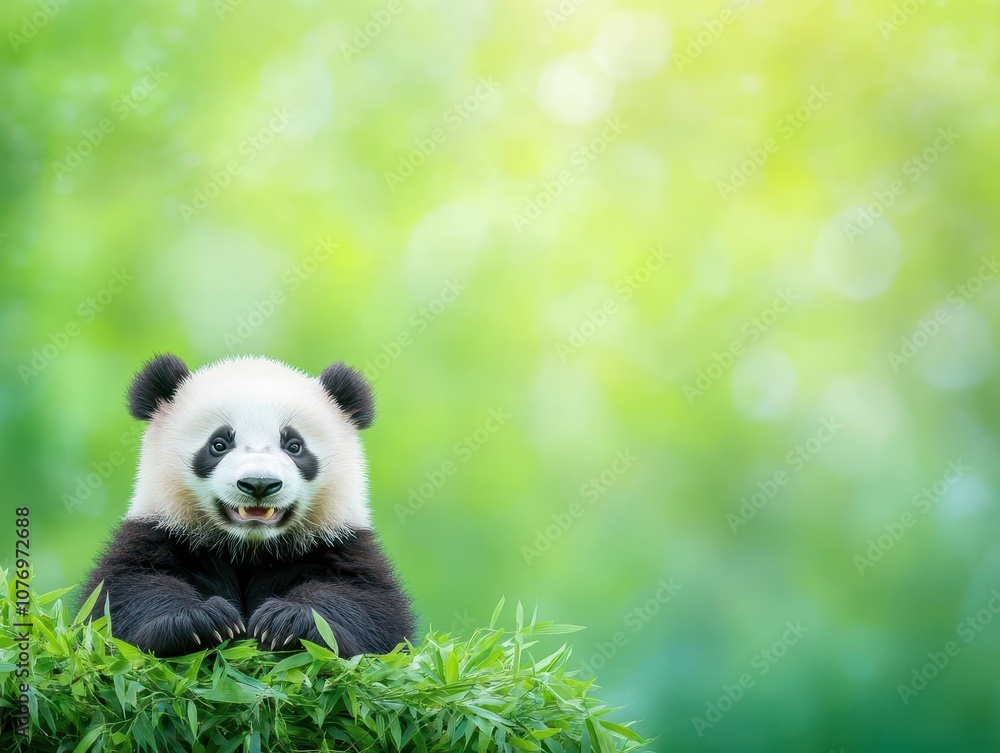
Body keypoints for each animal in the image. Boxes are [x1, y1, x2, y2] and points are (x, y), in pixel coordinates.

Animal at [80, 353, 415, 658]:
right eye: (218, 444)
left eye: (294, 446)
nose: (259, 484)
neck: (250, 548)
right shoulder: (161, 530)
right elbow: (123, 592)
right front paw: (201, 621)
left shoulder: (337, 541)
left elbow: (368, 605)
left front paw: (287, 623)